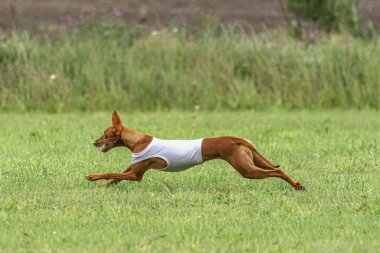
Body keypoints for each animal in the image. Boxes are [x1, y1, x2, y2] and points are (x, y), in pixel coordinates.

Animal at [87, 110, 306, 190]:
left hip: (246, 169)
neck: (138, 141)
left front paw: (93, 177)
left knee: (277, 171)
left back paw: (295, 186)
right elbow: (116, 175)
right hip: (253, 161)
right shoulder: (134, 168)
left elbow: (111, 172)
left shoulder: (136, 175)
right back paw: (297, 185)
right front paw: (106, 186)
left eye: (105, 134)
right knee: (277, 169)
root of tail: (236, 138)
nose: (93, 142)